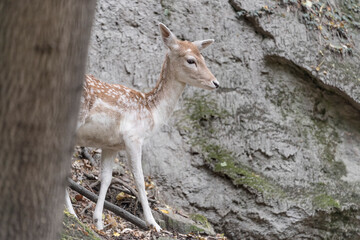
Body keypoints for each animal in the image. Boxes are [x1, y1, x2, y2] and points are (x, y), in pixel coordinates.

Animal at [68, 23, 219, 232]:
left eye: (203, 57)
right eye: (191, 60)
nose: (216, 83)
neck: (151, 110)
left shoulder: (111, 145)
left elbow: (106, 178)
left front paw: (98, 222)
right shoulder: (133, 137)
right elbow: (139, 180)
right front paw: (153, 224)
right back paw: (71, 213)